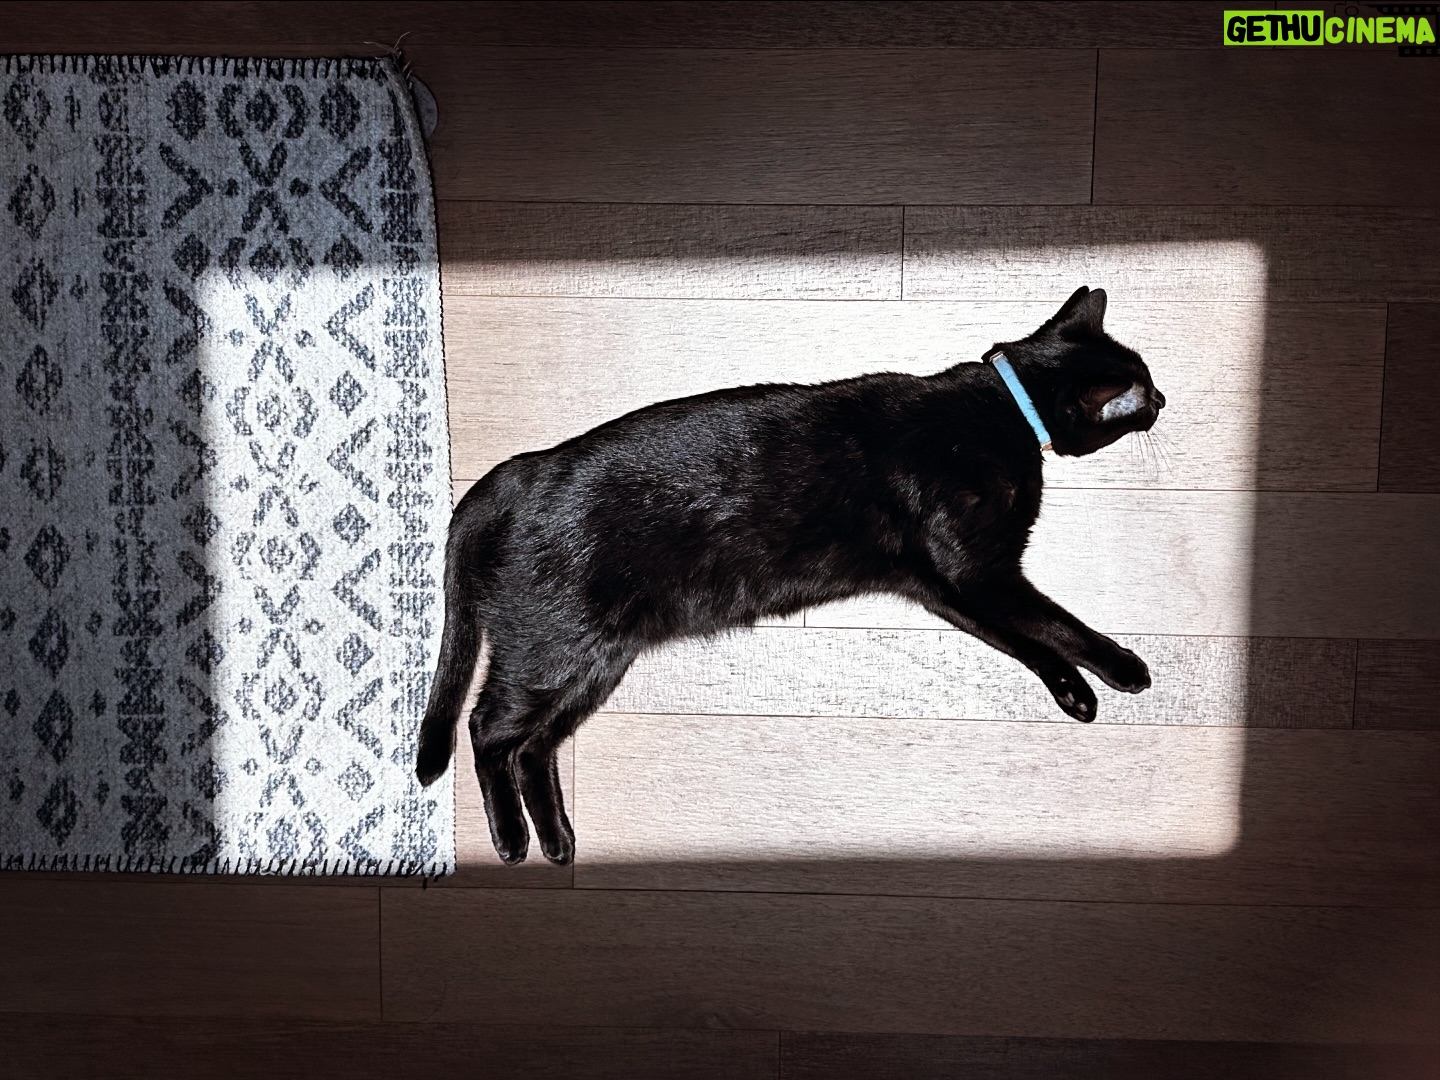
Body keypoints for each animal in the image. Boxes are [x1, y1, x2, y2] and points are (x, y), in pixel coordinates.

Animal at [417, 286, 1164, 866]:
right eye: (1142, 392)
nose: (1163, 397)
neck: (1004, 412)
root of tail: (517, 473)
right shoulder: (979, 574)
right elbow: (1054, 623)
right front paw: (1118, 669)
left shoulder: (950, 588)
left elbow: (1026, 640)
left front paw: (1074, 690)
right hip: (552, 652)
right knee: (487, 729)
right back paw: (511, 839)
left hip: (597, 661)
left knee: (534, 745)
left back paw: (557, 839)